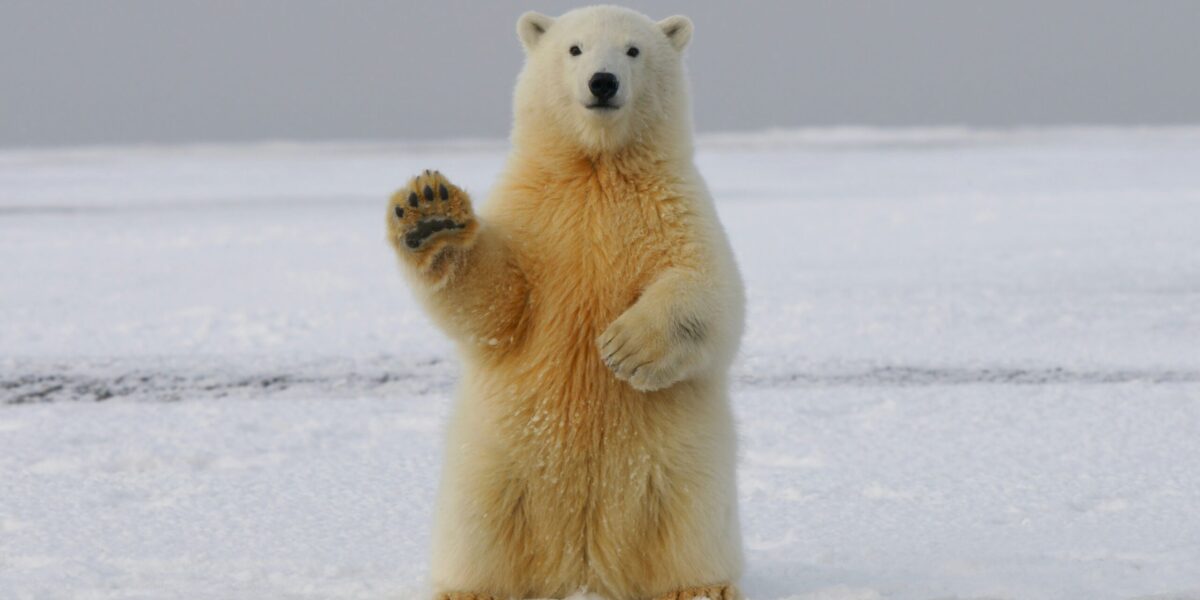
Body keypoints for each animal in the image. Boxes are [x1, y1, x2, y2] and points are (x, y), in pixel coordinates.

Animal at [386, 5, 739, 600]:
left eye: (632, 50)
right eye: (574, 49)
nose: (603, 82)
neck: (596, 168)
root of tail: (583, 566)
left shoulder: (675, 207)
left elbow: (710, 290)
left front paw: (625, 347)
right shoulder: (535, 215)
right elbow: (497, 302)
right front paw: (430, 213)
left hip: (680, 467)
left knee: (688, 525)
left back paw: (700, 588)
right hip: (494, 465)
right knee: (480, 526)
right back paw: (468, 589)